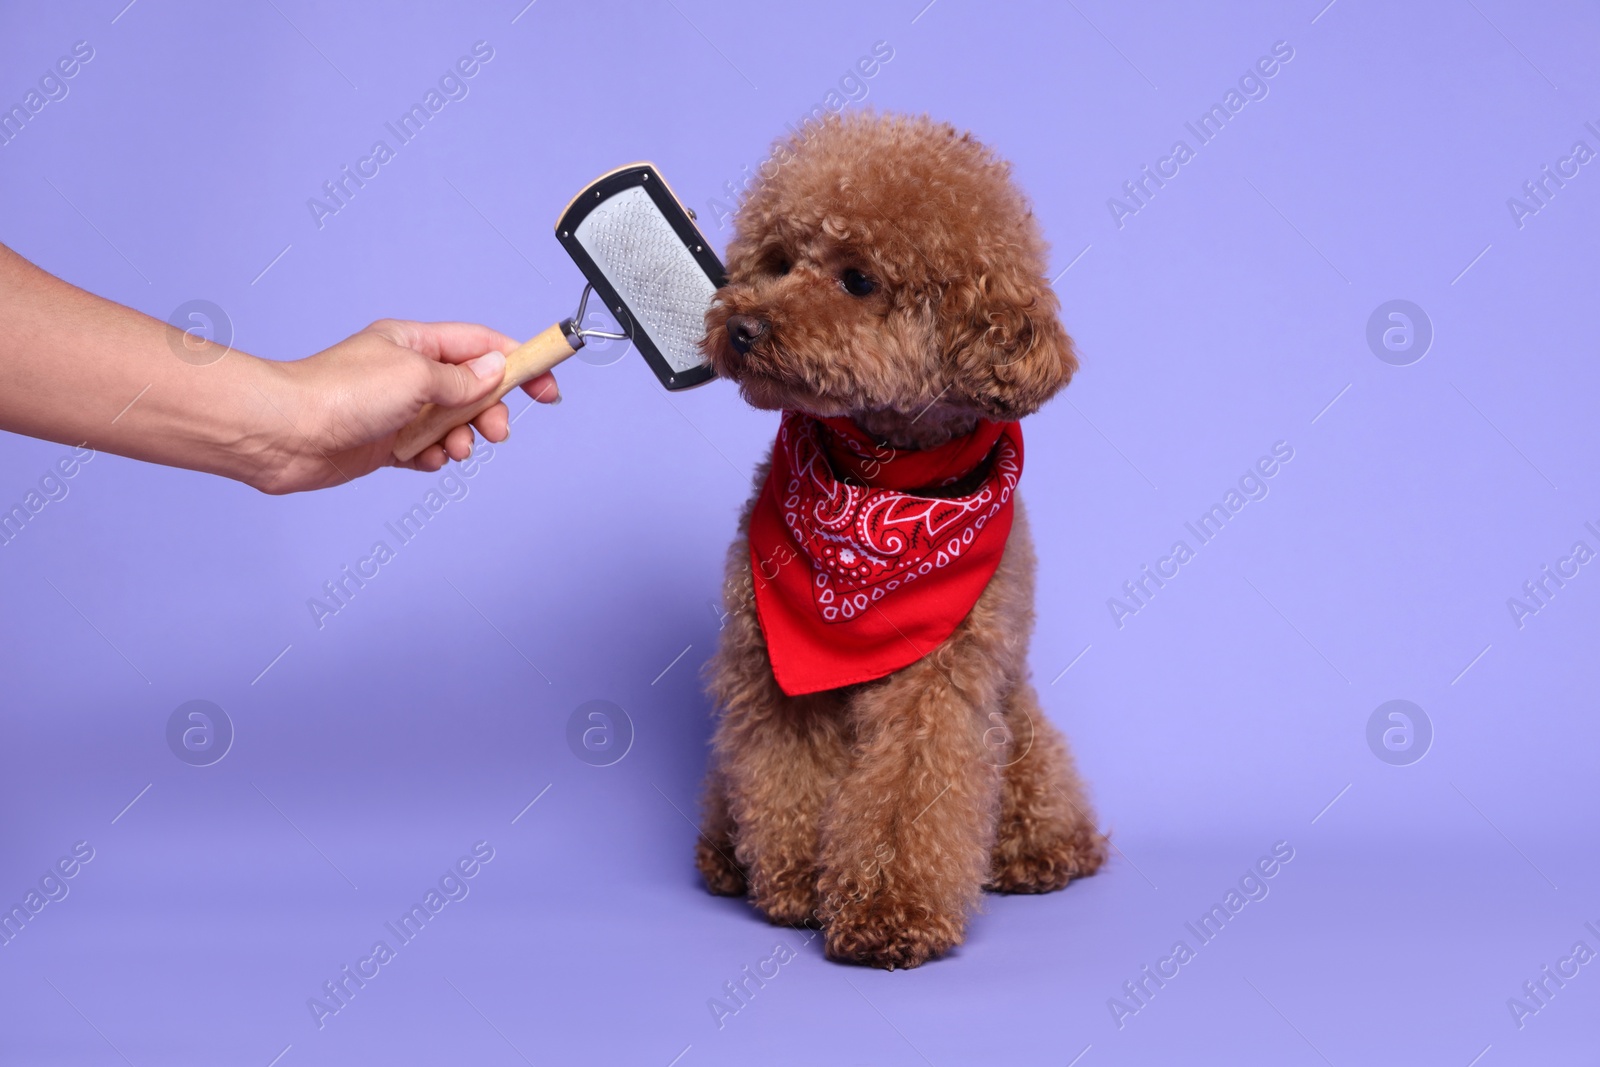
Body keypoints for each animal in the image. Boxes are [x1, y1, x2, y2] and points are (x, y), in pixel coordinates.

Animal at [694, 112, 1107, 972]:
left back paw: (1040, 851)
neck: (880, 487)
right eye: (778, 261)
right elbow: (785, 775)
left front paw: (887, 909)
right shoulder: (771, 670)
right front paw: (796, 884)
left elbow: (909, 793)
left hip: (1016, 718)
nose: (742, 326)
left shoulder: (940, 683)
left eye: (858, 280)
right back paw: (725, 855)